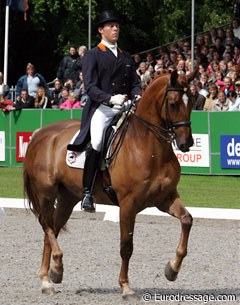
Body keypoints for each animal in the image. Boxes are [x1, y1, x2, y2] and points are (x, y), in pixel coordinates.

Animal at [23, 69, 197, 300]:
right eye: (174, 103)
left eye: (193, 101)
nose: (186, 143)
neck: (149, 147)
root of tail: (39, 134)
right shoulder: (128, 204)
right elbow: (126, 246)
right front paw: (126, 287)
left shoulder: (165, 198)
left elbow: (187, 220)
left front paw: (172, 270)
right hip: (45, 193)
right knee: (47, 226)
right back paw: (54, 271)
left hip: (67, 197)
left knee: (51, 230)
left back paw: (49, 277)